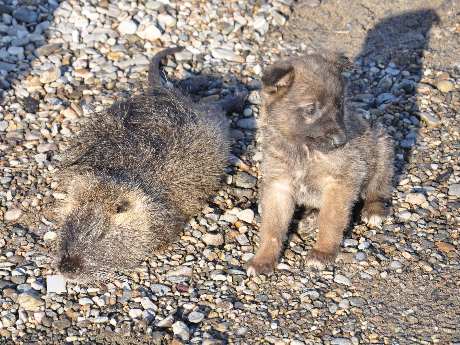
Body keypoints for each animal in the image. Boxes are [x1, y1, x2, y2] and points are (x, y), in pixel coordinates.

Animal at [246, 53, 394, 274]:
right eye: (311, 109)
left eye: (340, 105)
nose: (341, 141)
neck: (304, 152)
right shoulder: (279, 186)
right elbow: (272, 228)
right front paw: (263, 259)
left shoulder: (340, 182)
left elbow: (330, 220)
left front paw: (322, 252)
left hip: (382, 145)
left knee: (379, 186)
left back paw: (374, 210)